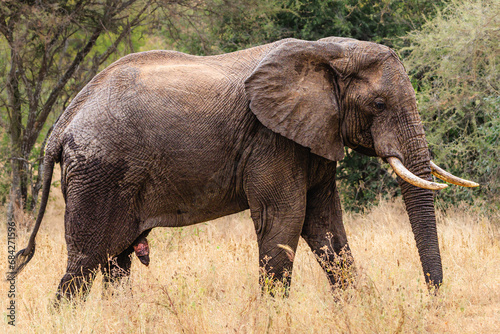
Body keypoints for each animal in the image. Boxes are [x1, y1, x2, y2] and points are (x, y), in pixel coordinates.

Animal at [7, 36, 476, 300]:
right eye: (379, 104)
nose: (433, 302)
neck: (327, 52)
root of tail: (61, 124)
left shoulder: (312, 134)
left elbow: (325, 225)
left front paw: (358, 310)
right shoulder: (270, 140)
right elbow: (286, 218)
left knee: (115, 263)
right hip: (100, 172)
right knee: (84, 264)